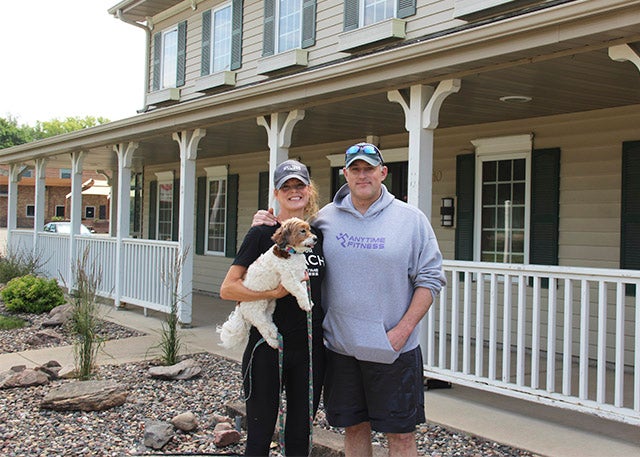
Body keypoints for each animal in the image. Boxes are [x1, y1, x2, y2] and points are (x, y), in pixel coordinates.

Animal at [218, 217, 318, 350]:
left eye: (309, 229)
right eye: (302, 231)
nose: (315, 238)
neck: (291, 252)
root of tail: (239, 305)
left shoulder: (300, 276)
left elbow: (304, 290)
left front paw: (308, 301)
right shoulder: (289, 279)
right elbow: (300, 291)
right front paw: (306, 304)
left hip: (268, 307)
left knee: (268, 323)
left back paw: (275, 333)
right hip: (256, 312)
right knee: (263, 327)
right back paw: (273, 342)